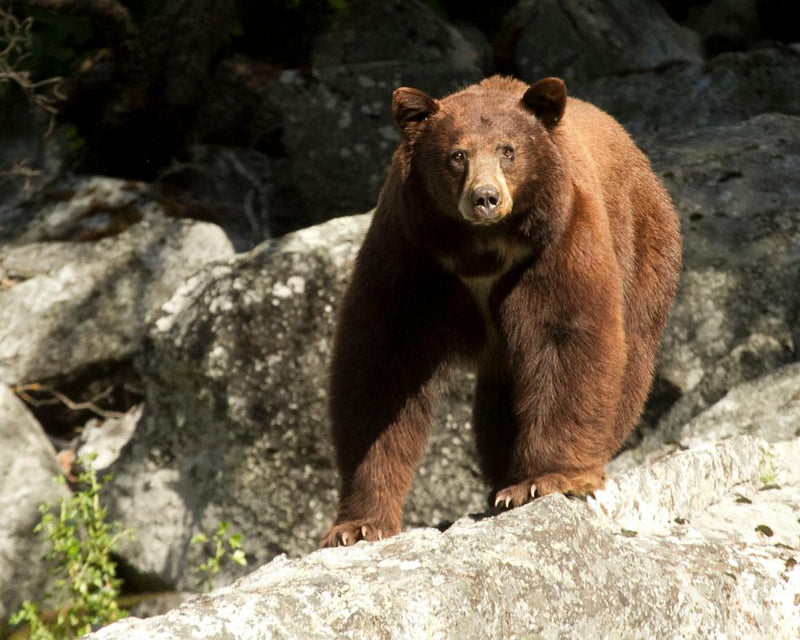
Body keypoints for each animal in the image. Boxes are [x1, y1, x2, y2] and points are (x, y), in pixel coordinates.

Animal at [320, 75, 682, 547]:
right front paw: (358, 525)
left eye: (508, 150)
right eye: (457, 155)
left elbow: (565, 338)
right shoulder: (411, 255)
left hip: (643, 250)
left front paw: (544, 479)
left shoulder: (556, 244)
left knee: (629, 362)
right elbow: (382, 365)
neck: (482, 249)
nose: (485, 198)